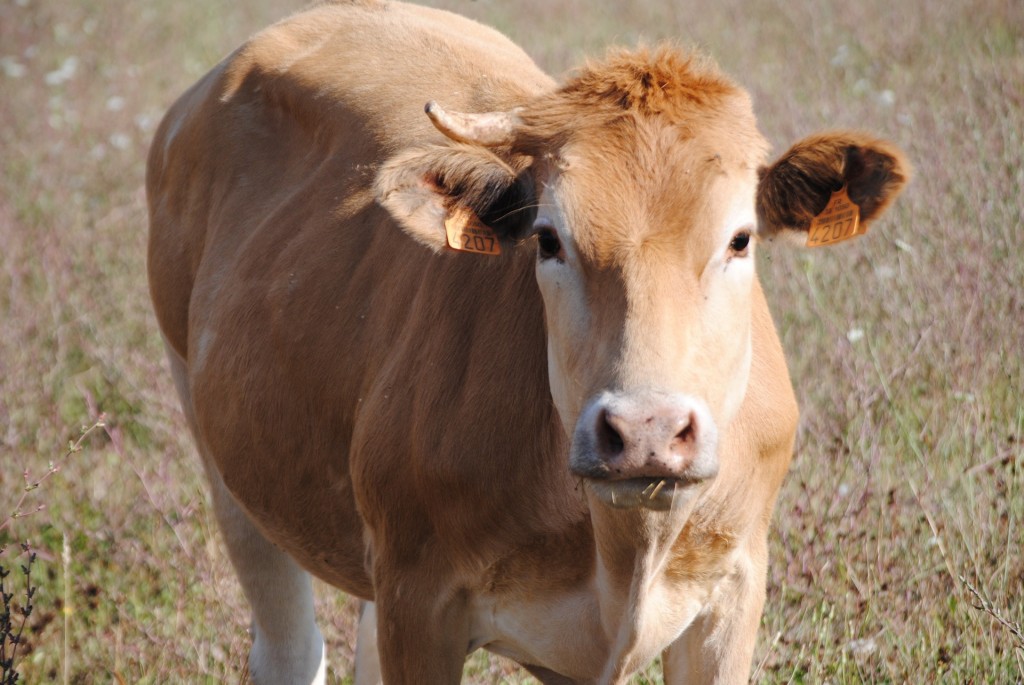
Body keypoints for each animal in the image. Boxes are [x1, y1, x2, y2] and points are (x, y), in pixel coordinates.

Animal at [146, 1, 909, 683]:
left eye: (740, 238)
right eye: (547, 238)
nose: (646, 430)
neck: (625, 552)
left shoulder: (734, 590)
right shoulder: (419, 602)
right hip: (222, 451)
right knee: (289, 645)